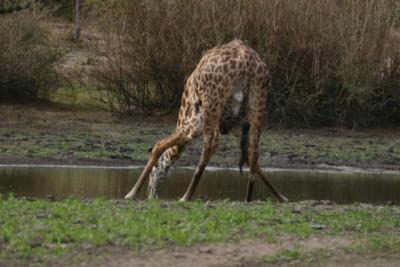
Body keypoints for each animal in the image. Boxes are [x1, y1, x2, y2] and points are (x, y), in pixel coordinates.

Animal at [124, 39, 288, 203]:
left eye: (153, 174)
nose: (151, 195)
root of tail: (248, 63)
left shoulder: (195, 121)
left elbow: (157, 147)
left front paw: (130, 193)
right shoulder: (226, 124)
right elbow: (250, 159)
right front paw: (283, 198)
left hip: (212, 103)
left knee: (210, 144)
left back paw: (185, 196)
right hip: (257, 99)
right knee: (253, 150)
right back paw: (247, 199)